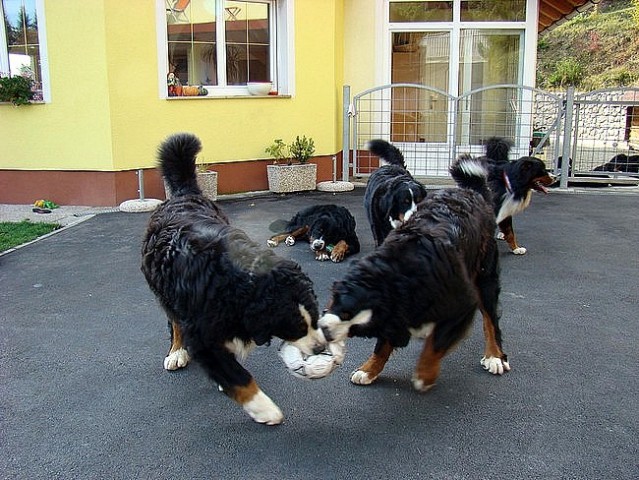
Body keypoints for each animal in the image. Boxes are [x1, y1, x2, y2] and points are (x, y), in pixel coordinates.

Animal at [142, 133, 328, 426]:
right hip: (166, 292)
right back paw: (176, 352)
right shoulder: (201, 334)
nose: (321, 347)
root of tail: (184, 195)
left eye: (314, 316)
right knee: (174, 322)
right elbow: (238, 377)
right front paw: (264, 409)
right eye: (296, 326)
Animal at [320, 156, 510, 392]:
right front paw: (368, 369)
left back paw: (494, 356)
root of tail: (471, 193)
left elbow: (437, 343)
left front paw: (424, 374)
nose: (323, 329)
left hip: (485, 278)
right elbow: (383, 343)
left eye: (349, 317)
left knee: (490, 320)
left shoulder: (462, 304)